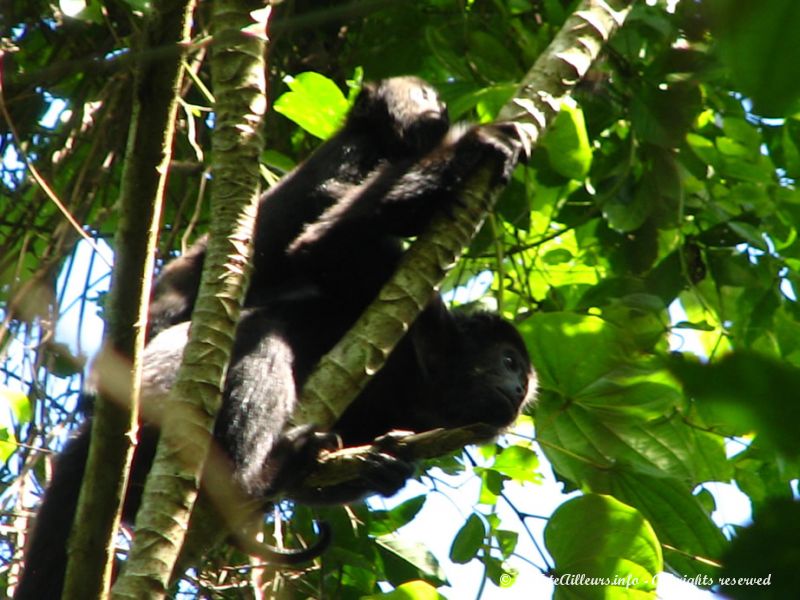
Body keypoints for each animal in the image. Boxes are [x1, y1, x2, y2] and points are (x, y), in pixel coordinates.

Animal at [15, 77, 536, 596]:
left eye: (524, 380)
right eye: (509, 361)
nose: (516, 389)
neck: (429, 380)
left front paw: (383, 469)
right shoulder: (416, 308)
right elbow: (326, 243)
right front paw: (477, 143)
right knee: (261, 335)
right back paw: (250, 477)